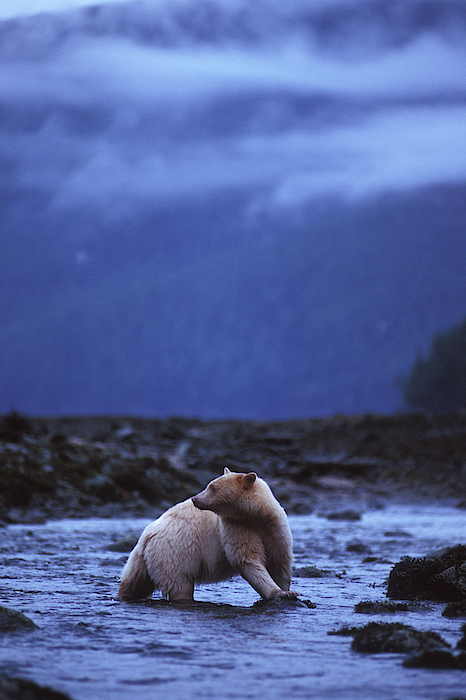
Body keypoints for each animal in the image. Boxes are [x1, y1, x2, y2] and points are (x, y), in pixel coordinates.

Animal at [119, 468, 294, 600]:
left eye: (213, 487)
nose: (195, 499)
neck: (255, 515)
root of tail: (148, 534)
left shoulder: (273, 528)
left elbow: (279, 560)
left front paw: (286, 590)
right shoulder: (235, 528)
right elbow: (248, 560)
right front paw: (279, 592)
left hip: (144, 558)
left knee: (134, 581)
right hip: (174, 553)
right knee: (180, 585)